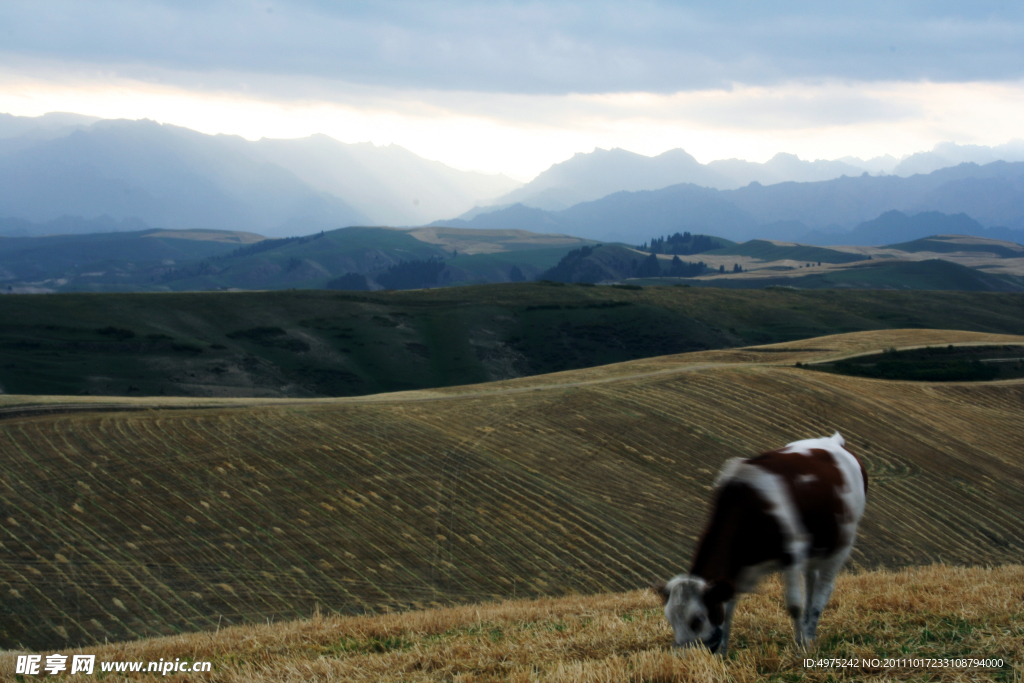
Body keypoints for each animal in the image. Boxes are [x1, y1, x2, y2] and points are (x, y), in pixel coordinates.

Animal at [655, 432, 864, 655]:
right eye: (670, 619)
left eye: (697, 619)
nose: (683, 655)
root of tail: (835, 442)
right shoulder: (737, 568)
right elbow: (729, 605)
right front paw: (723, 652)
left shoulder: (793, 553)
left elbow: (794, 605)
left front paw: (800, 647)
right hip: (815, 552)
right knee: (811, 584)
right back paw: (809, 630)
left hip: (841, 544)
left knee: (823, 590)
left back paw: (809, 633)